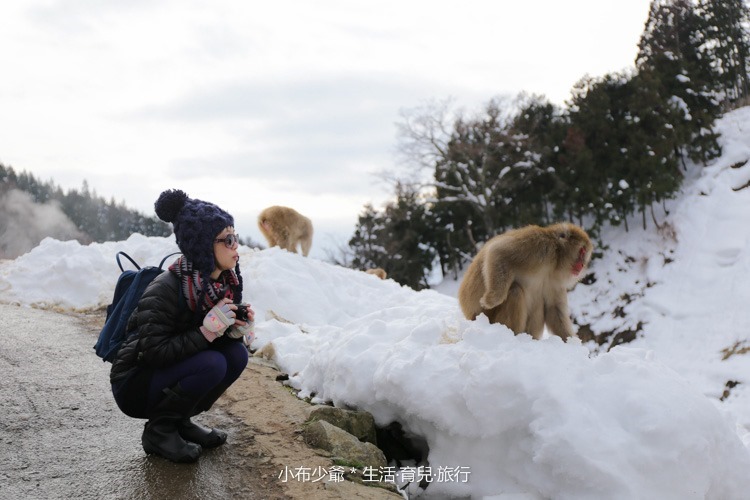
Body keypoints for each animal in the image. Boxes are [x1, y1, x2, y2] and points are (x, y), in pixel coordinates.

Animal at [458, 222, 592, 340]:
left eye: (584, 255)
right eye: (581, 252)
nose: (582, 265)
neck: (555, 261)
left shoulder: (555, 281)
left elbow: (553, 309)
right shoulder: (540, 246)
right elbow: (498, 252)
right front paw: (491, 299)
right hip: (488, 318)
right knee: (515, 291)